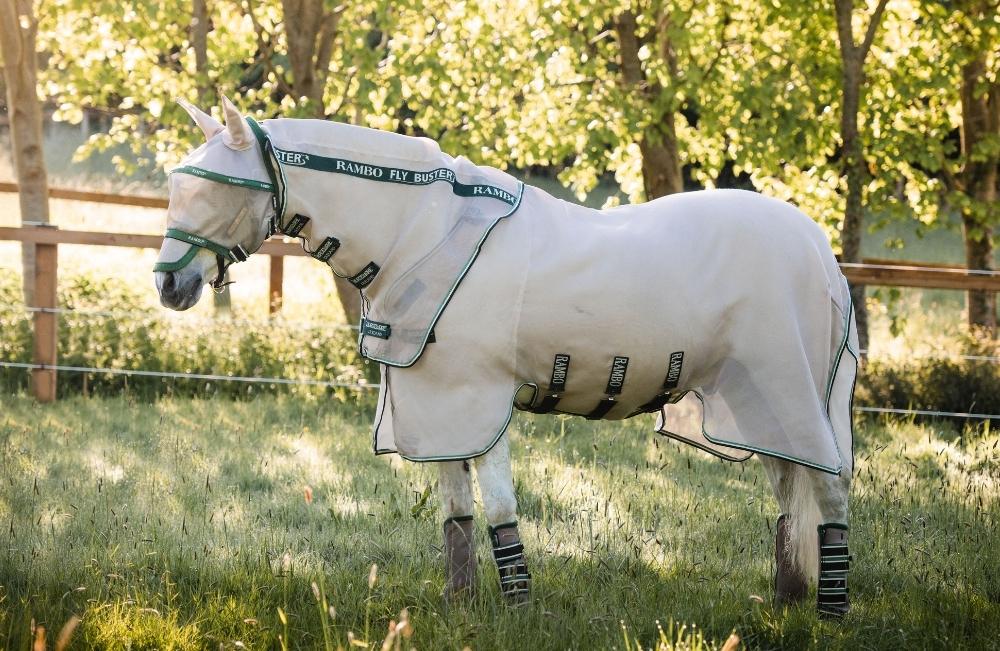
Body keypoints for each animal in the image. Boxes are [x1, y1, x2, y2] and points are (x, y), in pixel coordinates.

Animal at [154, 96, 858, 617]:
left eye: (219, 190)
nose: (169, 285)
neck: (427, 235)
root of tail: (818, 249)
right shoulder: (435, 406)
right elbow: (456, 511)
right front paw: (461, 602)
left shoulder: (479, 401)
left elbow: (497, 507)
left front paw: (518, 606)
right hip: (758, 403)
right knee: (789, 491)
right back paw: (788, 598)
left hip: (795, 394)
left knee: (829, 488)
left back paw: (830, 610)